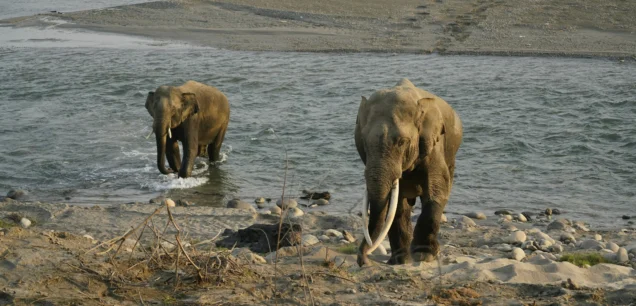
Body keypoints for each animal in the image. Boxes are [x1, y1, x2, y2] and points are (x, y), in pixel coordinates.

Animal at [352, 78, 462, 266]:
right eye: (364, 142)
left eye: (402, 142)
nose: (364, 261)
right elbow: (396, 205)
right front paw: (400, 261)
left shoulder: (434, 147)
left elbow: (436, 191)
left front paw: (423, 256)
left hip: (451, 155)